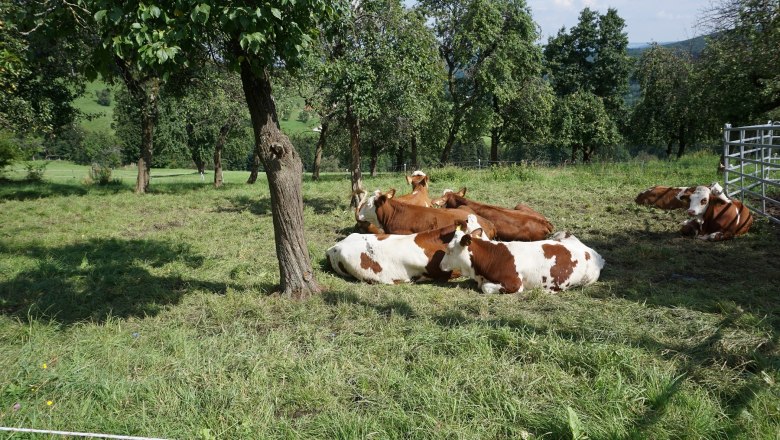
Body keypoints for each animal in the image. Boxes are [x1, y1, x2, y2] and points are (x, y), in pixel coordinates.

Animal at [439, 216, 605, 294]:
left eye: (449, 249)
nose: (440, 265)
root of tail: (596, 254)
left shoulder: (514, 284)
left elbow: (485, 288)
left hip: (588, 281)